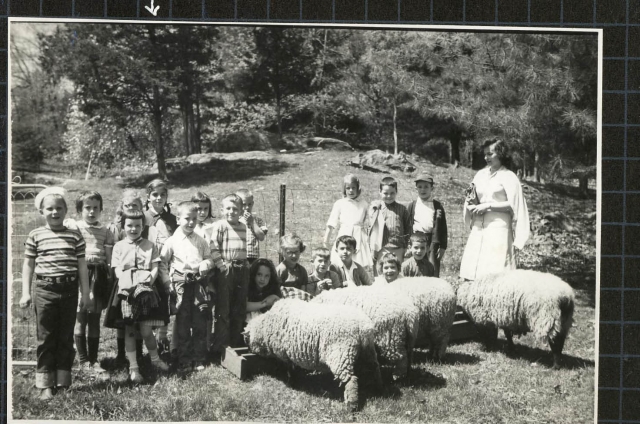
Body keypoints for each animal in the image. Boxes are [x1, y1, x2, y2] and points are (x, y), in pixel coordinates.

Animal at [242, 298, 382, 410]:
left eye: (246, 340)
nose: (249, 351)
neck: (265, 326)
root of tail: (364, 328)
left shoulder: (284, 354)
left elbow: (289, 369)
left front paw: (291, 383)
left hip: (341, 353)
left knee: (351, 379)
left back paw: (351, 405)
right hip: (367, 351)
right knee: (374, 368)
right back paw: (376, 389)